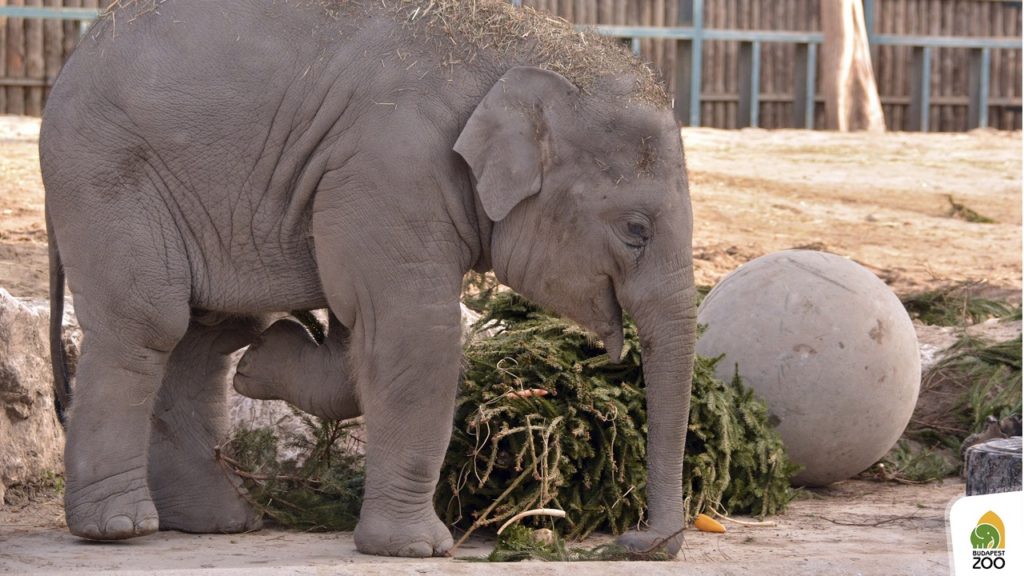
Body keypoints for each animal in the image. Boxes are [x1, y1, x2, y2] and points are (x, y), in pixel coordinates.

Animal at [41, 0, 696, 557]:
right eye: (635, 230)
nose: (633, 540)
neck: (521, 48)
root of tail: (72, 56)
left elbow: (362, 332)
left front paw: (268, 358)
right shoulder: (391, 169)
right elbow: (415, 330)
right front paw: (416, 549)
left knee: (206, 334)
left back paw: (218, 517)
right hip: (106, 175)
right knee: (149, 323)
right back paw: (119, 528)